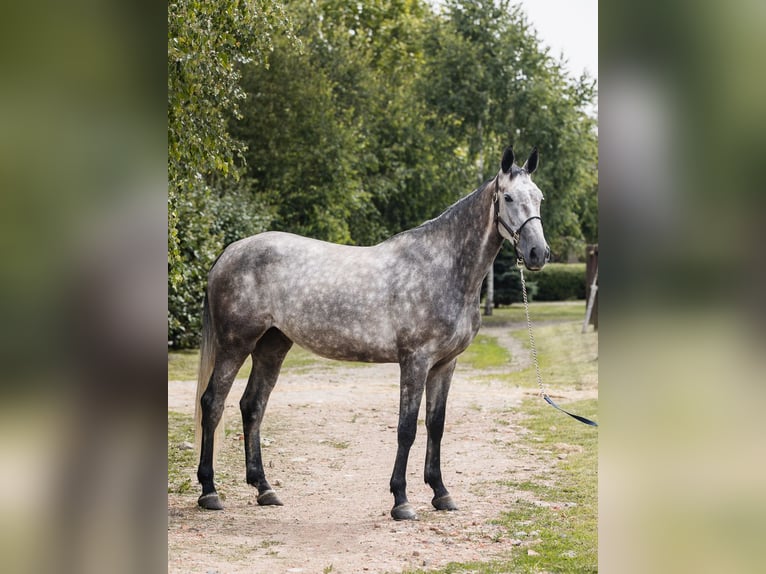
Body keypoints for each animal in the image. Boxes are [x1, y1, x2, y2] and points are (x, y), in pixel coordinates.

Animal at [195, 147, 548, 520]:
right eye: (507, 197)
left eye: (539, 197)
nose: (538, 253)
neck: (443, 267)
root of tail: (228, 253)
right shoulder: (415, 361)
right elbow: (406, 428)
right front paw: (401, 500)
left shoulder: (444, 364)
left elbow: (435, 425)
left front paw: (441, 493)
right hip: (235, 345)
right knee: (213, 403)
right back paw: (209, 491)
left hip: (272, 346)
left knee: (252, 406)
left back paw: (264, 488)